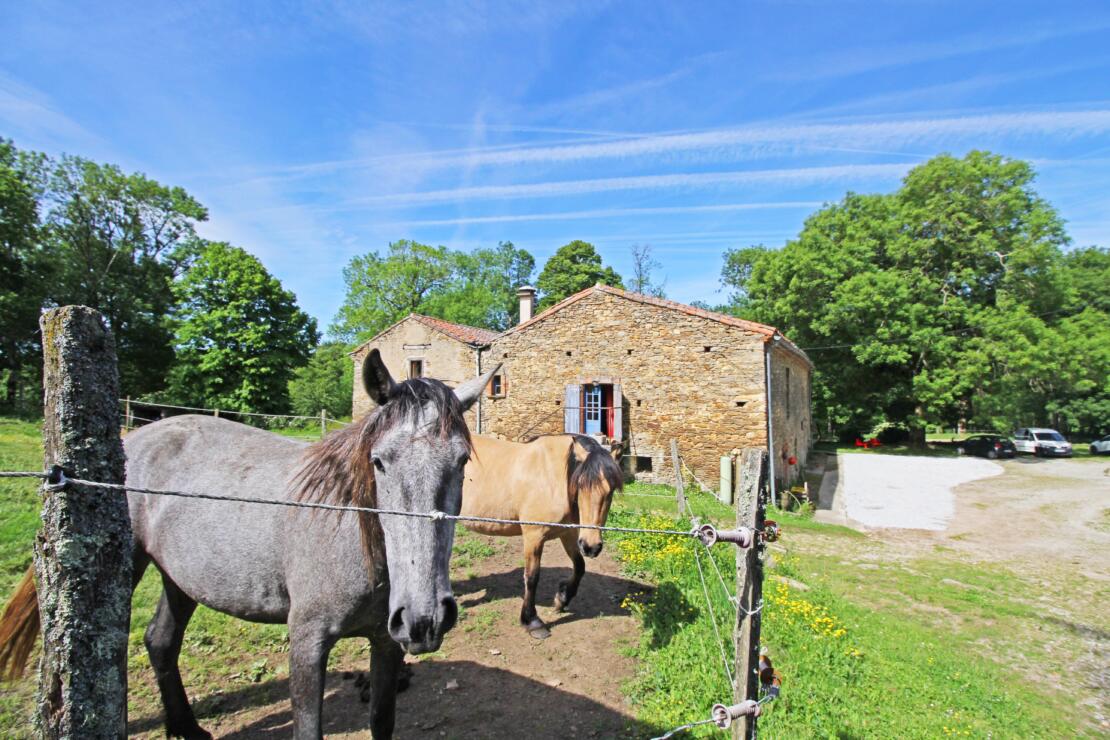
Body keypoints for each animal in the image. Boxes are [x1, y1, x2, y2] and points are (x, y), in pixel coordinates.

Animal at [0, 349, 500, 740]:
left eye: (461, 461)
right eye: (379, 461)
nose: (425, 618)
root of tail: (133, 437)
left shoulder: (386, 642)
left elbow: (382, 722)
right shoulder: (307, 642)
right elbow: (307, 728)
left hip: (181, 578)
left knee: (160, 641)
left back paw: (188, 729)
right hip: (132, 566)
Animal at [460, 433, 623, 639]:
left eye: (611, 491)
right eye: (580, 485)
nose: (591, 546)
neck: (554, 477)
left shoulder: (568, 533)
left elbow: (580, 566)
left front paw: (562, 598)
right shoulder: (533, 536)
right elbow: (532, 577)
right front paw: (532, 621)